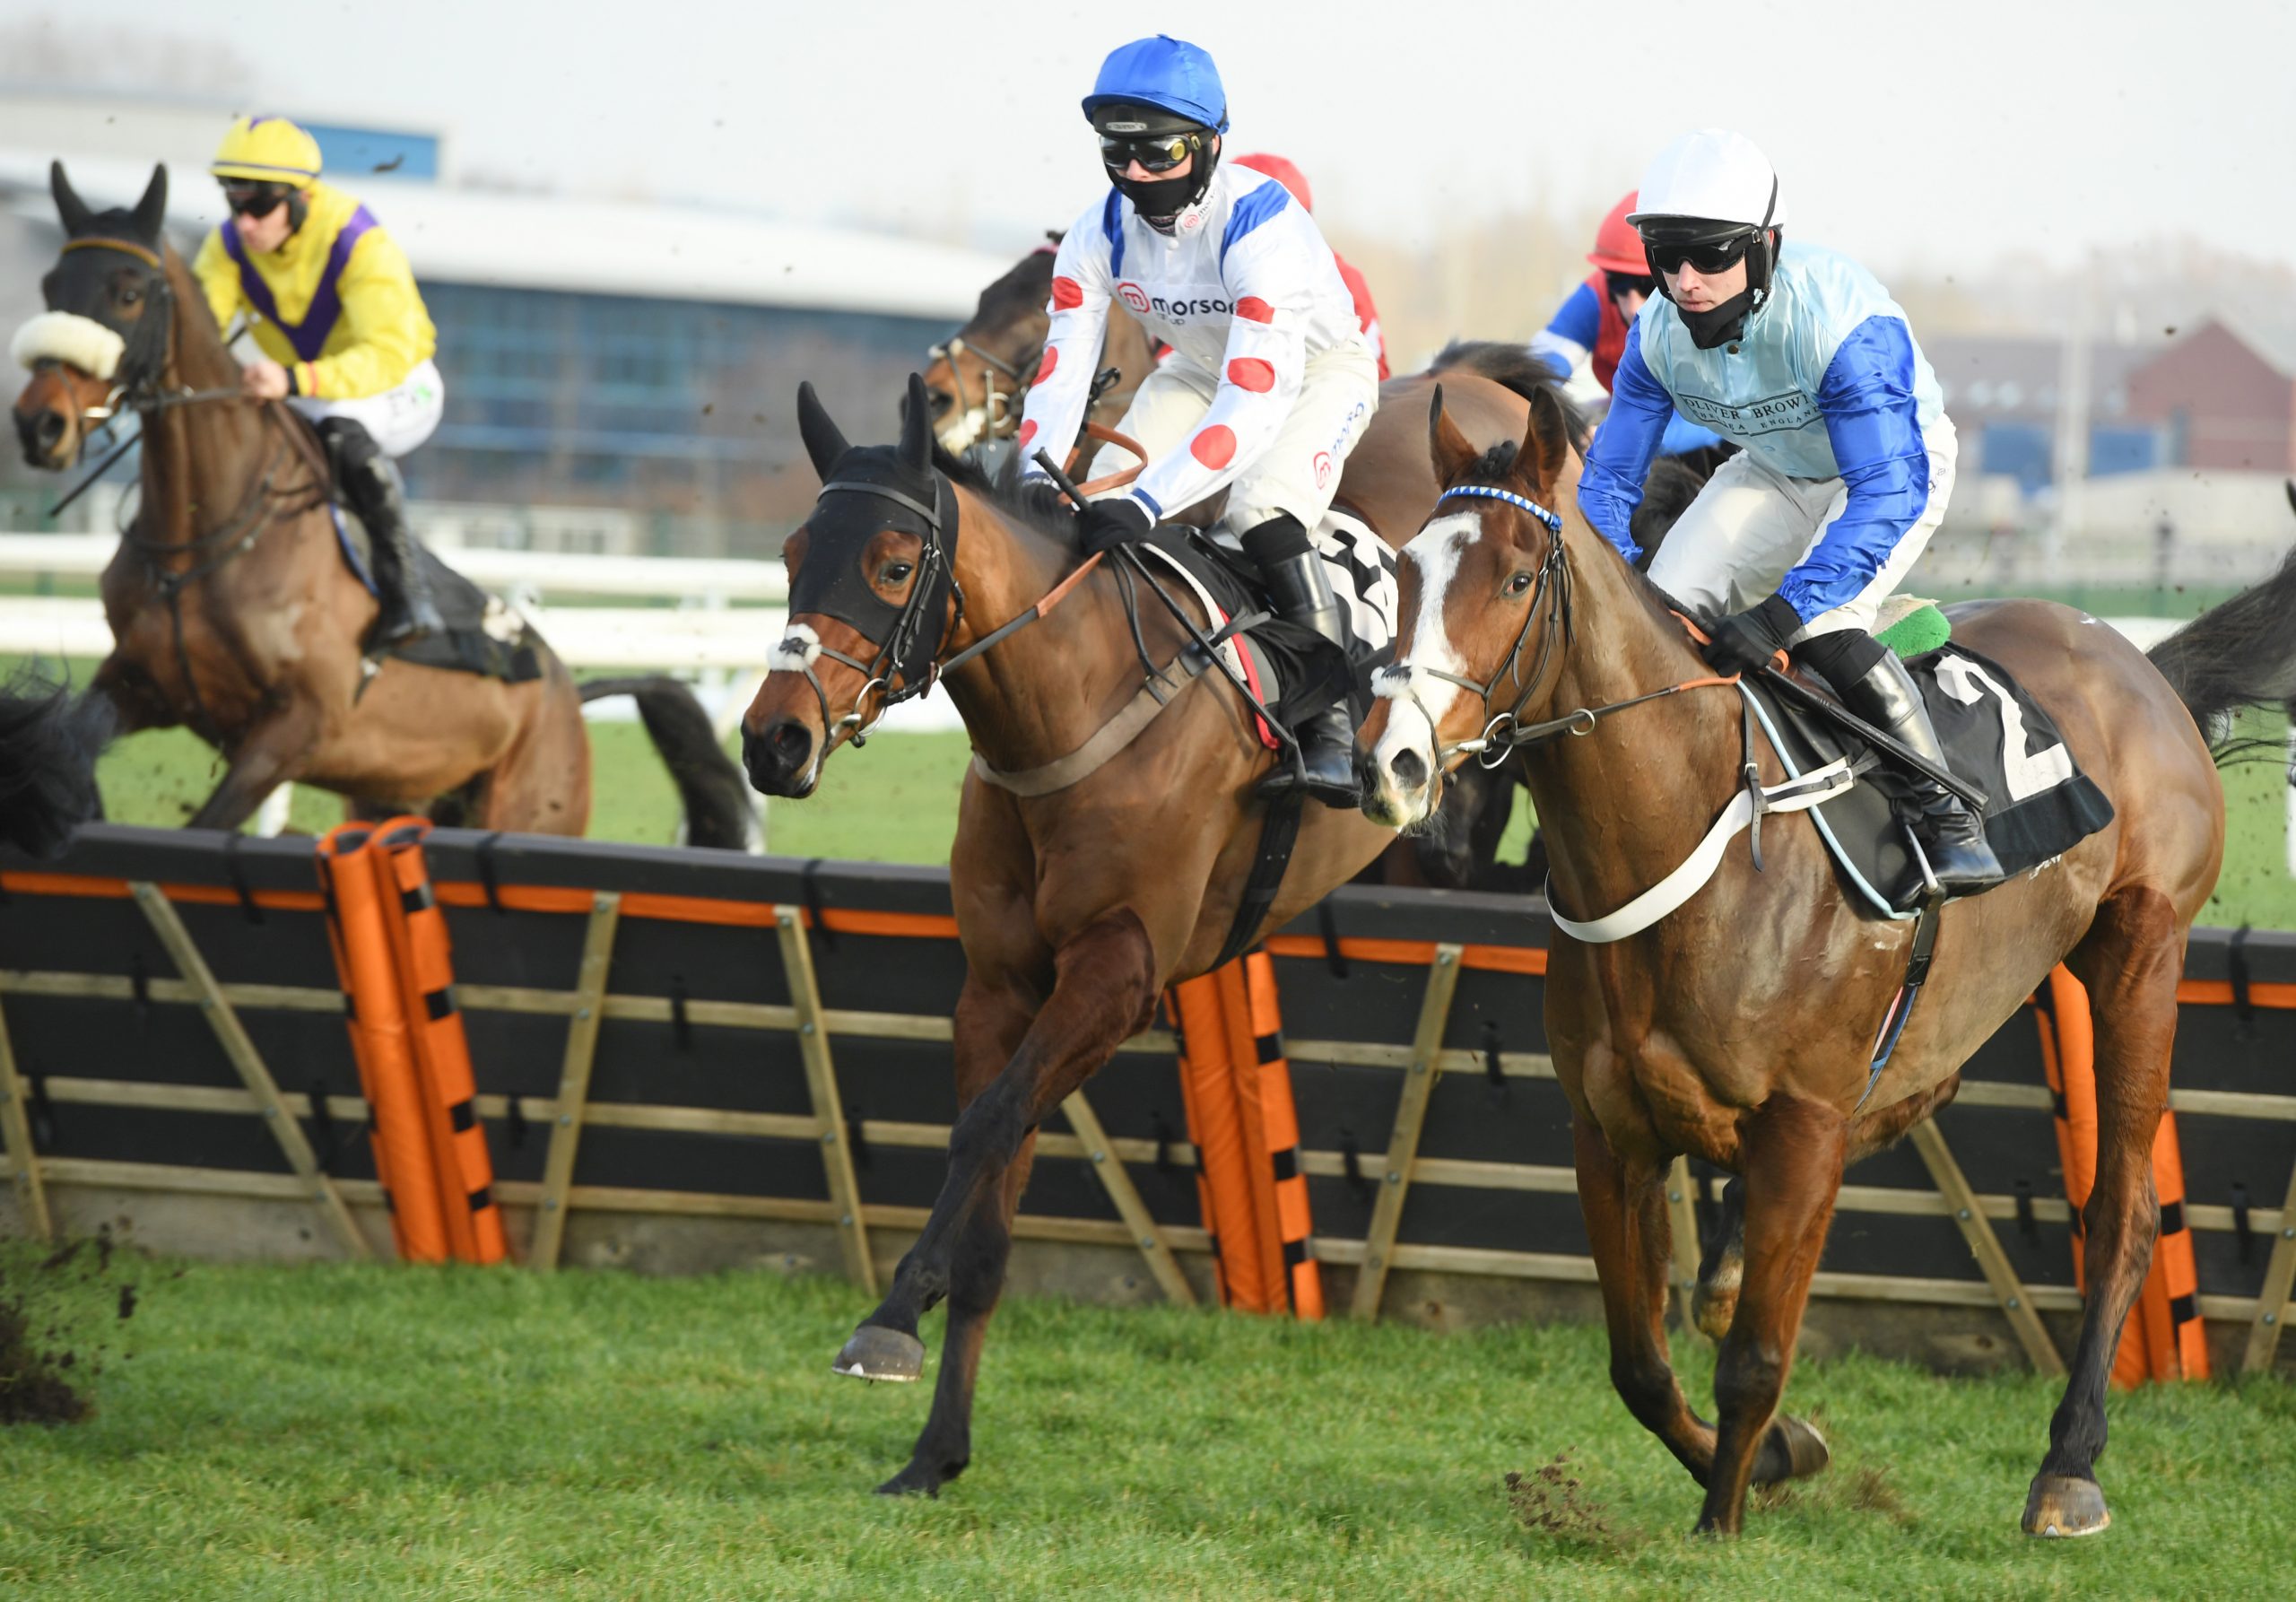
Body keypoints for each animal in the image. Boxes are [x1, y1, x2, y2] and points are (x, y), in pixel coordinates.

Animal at [1359, 380, 2296, 1533]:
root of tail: (2138, 664)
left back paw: (2068, 1468)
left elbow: (1755, 1360)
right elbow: (1640, 1364)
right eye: (1403, 569)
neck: (1688, 836)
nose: (1395, 761)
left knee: (2120, 1213)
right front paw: (1770, 1454)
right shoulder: (1608, 1130)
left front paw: (1721, 1519)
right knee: (1902, 1106)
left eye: (1518, 576)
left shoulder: (1800, 1121)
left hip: (2140, 957)